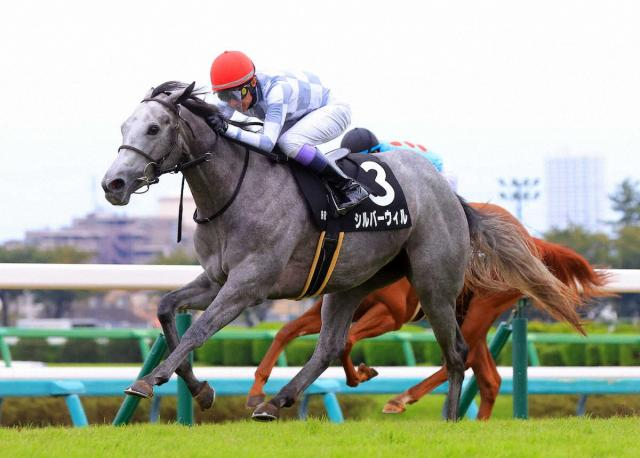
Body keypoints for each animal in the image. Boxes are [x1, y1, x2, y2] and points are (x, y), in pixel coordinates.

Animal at [246, 203, 610, 419]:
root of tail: (532, 242)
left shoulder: (392, 315)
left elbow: (345, 341)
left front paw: (360, 374)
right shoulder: (333, 305)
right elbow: (286, 332)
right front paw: (256, 392)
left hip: (477, 309)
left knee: (459, 359)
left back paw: (403, 398)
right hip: (467, 316)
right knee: (488, 378)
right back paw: (476, 422)